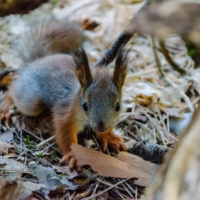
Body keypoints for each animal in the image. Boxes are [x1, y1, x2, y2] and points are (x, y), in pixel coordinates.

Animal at [0, 18, 128, 169]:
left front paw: (109, 137)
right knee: (14, 89)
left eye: (118, 106)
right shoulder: (65, 113)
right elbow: (65, 134)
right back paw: (5, 106)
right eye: (85, 105)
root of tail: (35, 61)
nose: (100, 127)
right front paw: (72, 155)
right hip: (30, 101)